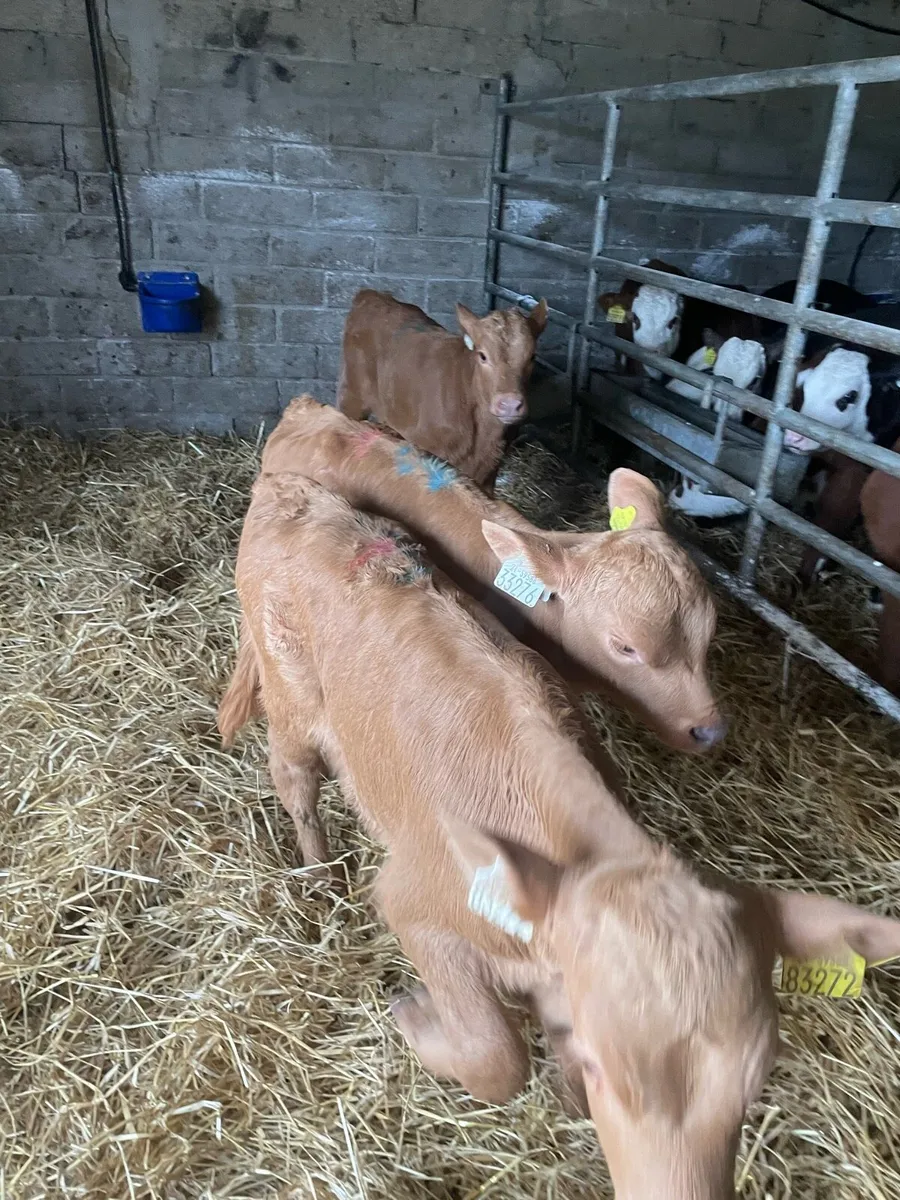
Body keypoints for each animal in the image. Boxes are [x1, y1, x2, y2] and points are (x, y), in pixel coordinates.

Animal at [219, 469, 900, 1200]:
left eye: (753, 1085)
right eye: (605, 1067)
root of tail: (289, 488)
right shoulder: (412, 899)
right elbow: (497, 1057)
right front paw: (418, 1017)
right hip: (290, 696)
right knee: (294, 780)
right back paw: (318, 877)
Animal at [337, 289, 548, 490]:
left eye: (532, 356)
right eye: (482, 355)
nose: (510, 404)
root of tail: (372, 294)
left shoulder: (489, 473)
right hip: (351, 395)